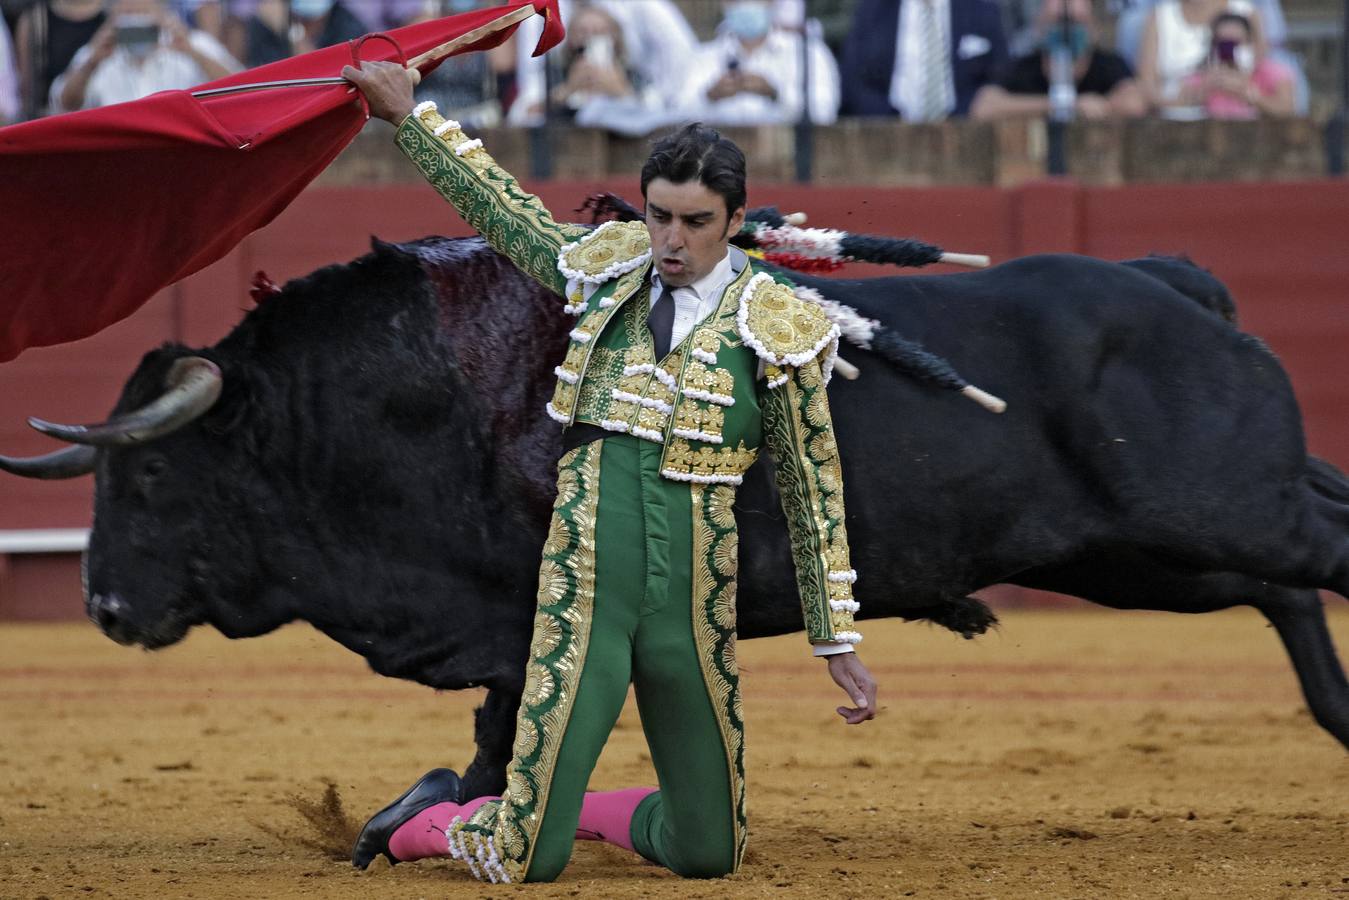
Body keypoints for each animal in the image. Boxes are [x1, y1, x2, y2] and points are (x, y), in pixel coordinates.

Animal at [5, 238, 1343, 804]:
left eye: (153, 483)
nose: (104, 608)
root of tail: (1172, 284)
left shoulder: (513, 616)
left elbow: (507, 729)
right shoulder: (499, 629)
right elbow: (492, 733)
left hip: (1214, 511)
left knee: (1318, 547)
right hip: (1145, 555)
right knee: (1285, 584)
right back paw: (1334, 716)